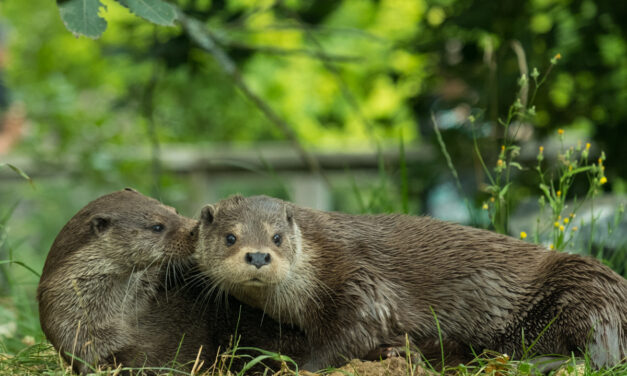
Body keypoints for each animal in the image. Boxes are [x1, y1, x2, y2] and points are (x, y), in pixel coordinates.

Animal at [196, 195, 627, 372]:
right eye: (231, 237)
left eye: (277, 237)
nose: (257, 256)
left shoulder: (357, 279)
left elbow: (354, 331)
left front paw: (301, 367)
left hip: (586, 289)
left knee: (600, 354)